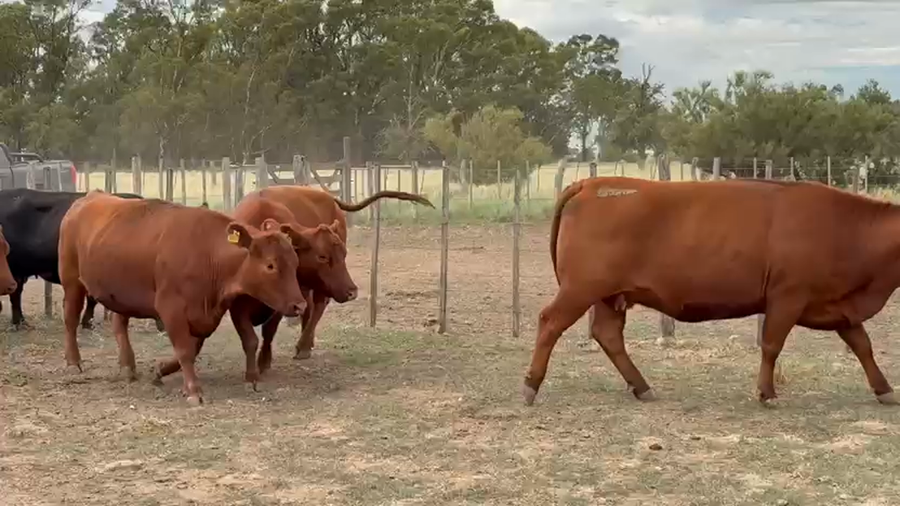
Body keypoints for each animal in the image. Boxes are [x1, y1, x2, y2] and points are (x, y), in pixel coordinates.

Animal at [58, 191, 308, 405]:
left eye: (295, 262)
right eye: (270, 265)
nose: (300, 305)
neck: (207, 251)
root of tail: (88, 198)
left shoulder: (205, 313)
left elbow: (192, 349)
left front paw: (161, 370)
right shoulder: (171, 309)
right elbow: (185, 350)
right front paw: (193, 391)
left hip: (120, 294)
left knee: (120, 324)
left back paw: (128, 366)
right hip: (72, 283)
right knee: (70, 319)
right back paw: (73, 363)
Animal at [523, 176, 899, 407]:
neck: (846, 228)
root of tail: (592, 183)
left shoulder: (840, 307)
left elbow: (862, 346)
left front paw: (885, 390)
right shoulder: (787, 297)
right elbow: (772, 345)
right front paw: (767, 393)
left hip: (609, 296)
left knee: (608, 334)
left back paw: (642, 387)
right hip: (580, 290)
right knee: (550, 322)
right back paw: (530, 386)